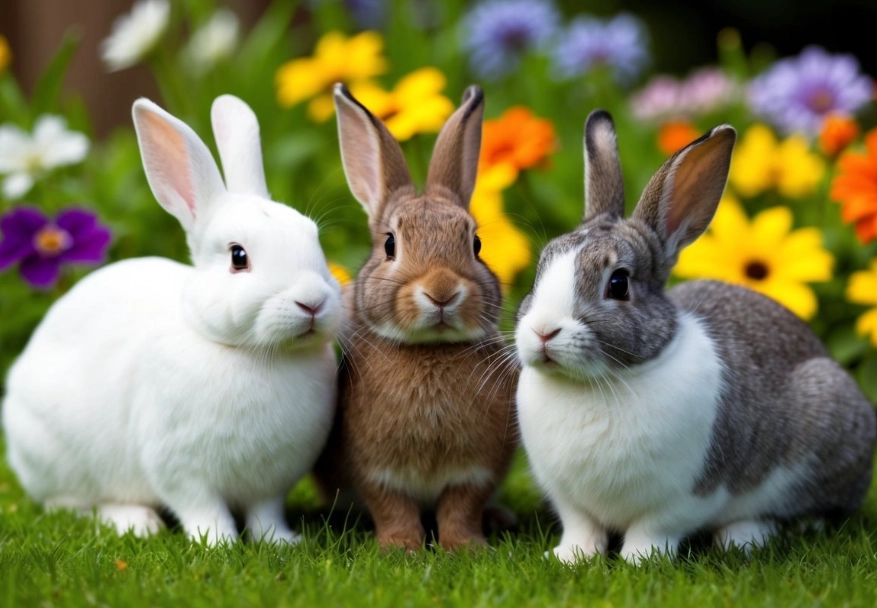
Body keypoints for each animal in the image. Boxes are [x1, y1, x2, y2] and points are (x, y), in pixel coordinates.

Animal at [1, 95, 342, 546]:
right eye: (238, 256)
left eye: (314, 239)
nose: (313, 301)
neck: (251, 353)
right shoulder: (180, 469)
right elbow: (203, 509)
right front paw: (218, 543)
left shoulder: (271, 483)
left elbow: (265, 514)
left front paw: (281, 542)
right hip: (56, 459)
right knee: (74, 504)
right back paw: (136, 521)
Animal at [313, 84, 518, 553]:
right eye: (390, 244)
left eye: (476, 244)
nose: (442, 291)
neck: (430, 351)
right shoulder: (375, 472)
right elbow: (393, 506)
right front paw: (400, 547)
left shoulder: (477, 470)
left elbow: (461, 507)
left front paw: (465, 547)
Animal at [515, 109, 877, 564]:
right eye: (540, 271)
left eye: (618, 283)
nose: (543, 331)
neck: (595, 383)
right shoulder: (569, 500)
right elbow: (582, 528)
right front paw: (568, 557)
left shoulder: (687, 494)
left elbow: (653, 529)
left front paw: (639, 561)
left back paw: (745, 536)